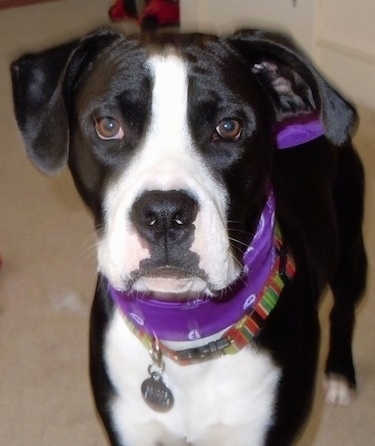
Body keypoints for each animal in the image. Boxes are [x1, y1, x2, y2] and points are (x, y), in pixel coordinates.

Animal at [11, 28, 368, 446]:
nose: (165, 215)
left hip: (351, 251)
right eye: (108, 126)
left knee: (344, 309)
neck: (188, 338)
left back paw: (341, 375)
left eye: (229, 127)